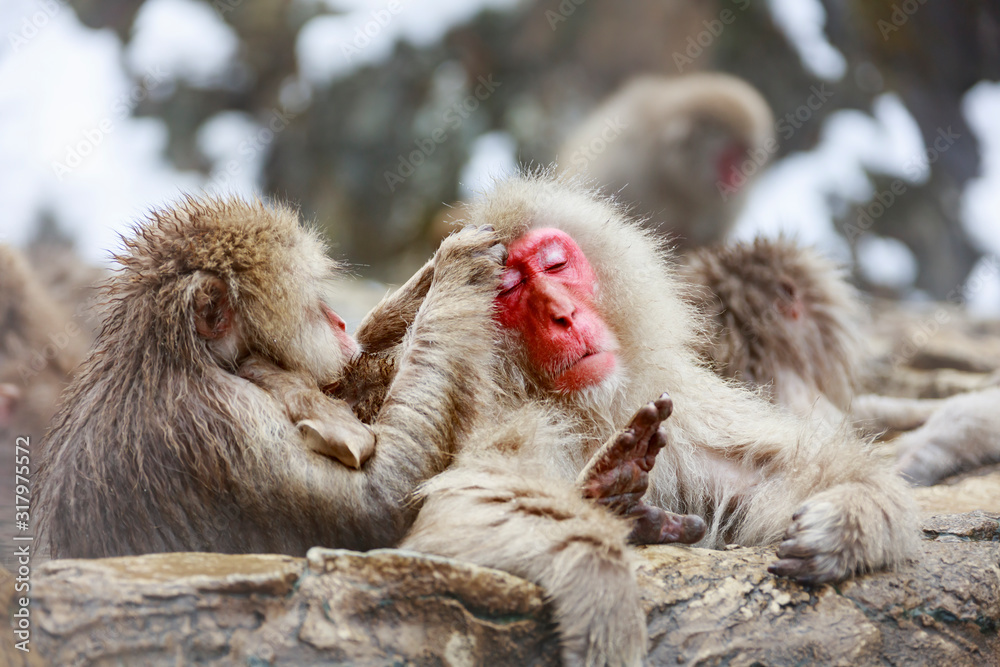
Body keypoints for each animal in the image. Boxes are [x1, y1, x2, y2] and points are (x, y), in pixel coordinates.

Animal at [35, 196, 504, 559]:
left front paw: (428, 278)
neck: (175, 358)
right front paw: (459, 269)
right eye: (313, 304)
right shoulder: (226, 424)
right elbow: (383, 500)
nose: (338, 321)